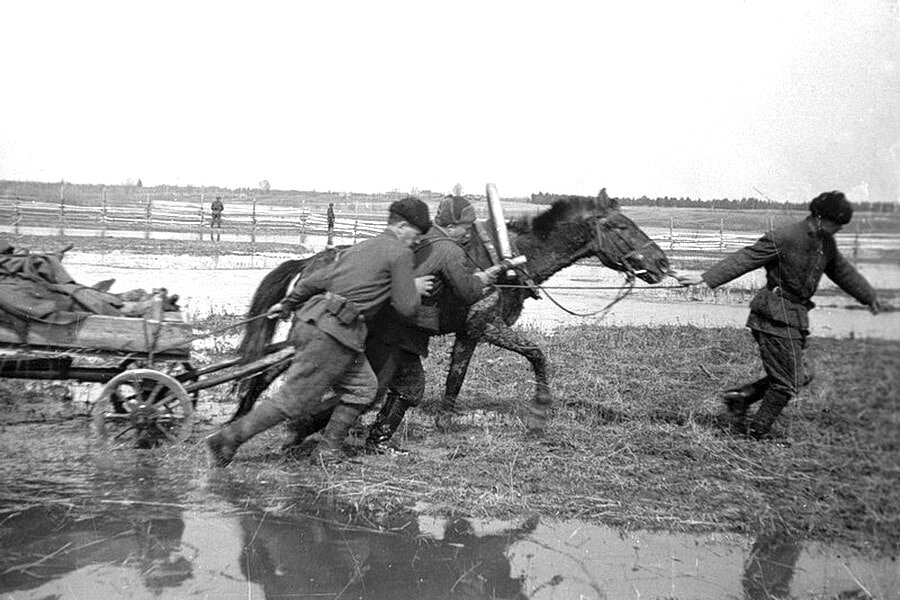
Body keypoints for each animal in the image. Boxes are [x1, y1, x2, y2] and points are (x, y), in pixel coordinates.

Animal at [230, 195, 668, 434]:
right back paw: (242, 413)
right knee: (267, 371)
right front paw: (541, 410)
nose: (662, 263)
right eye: (621, 226)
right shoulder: (486, 326)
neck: (507, 261)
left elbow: (456, 376)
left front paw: (444, 420)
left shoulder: (469, 333)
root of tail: (311, 261)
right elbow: (537, 355)